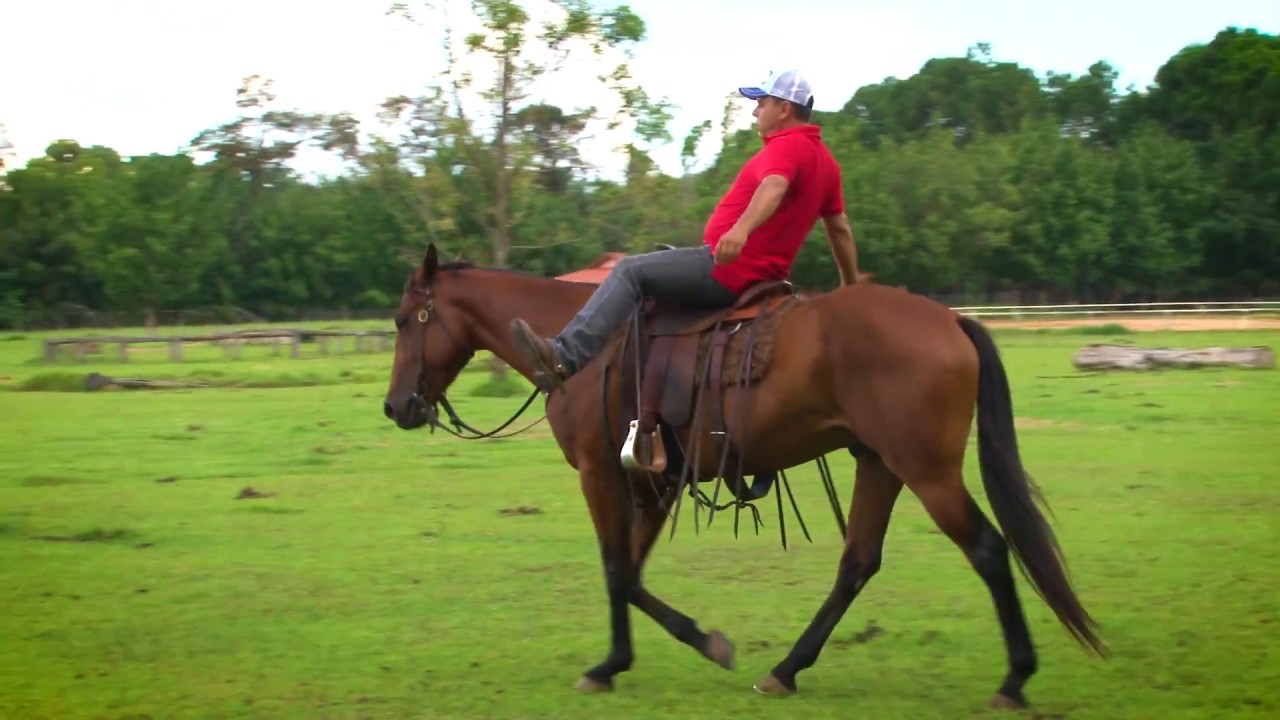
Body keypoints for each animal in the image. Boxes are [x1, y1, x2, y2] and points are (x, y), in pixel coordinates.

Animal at [381, 242, 1111, 707]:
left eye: (403, 320)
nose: (396, 407)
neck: (582, 347)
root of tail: (952, 321)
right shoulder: (653, 482)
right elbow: (632, 573)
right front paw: (628, 660)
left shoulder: (601, 473)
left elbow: (617, 570)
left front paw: (677, 648)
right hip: (879, 464)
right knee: (858, 562)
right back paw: (786, 670)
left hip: (926, 471)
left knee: (987, 548)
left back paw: (1014, 679)